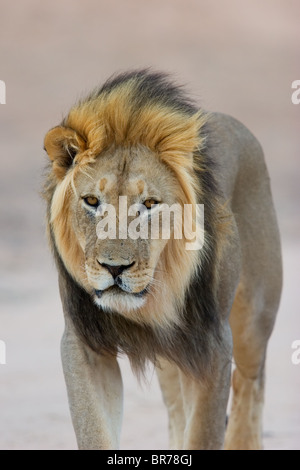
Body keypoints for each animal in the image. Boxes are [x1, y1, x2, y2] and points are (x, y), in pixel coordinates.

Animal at [43, 70, 282, 452]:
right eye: (92, 201)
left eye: (150, 204)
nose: (114, 268)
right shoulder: (84, 343)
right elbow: (94, 429)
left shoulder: (212, 344)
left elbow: (204, 433)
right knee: (178, 408)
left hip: (253, 318)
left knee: (250, 385)